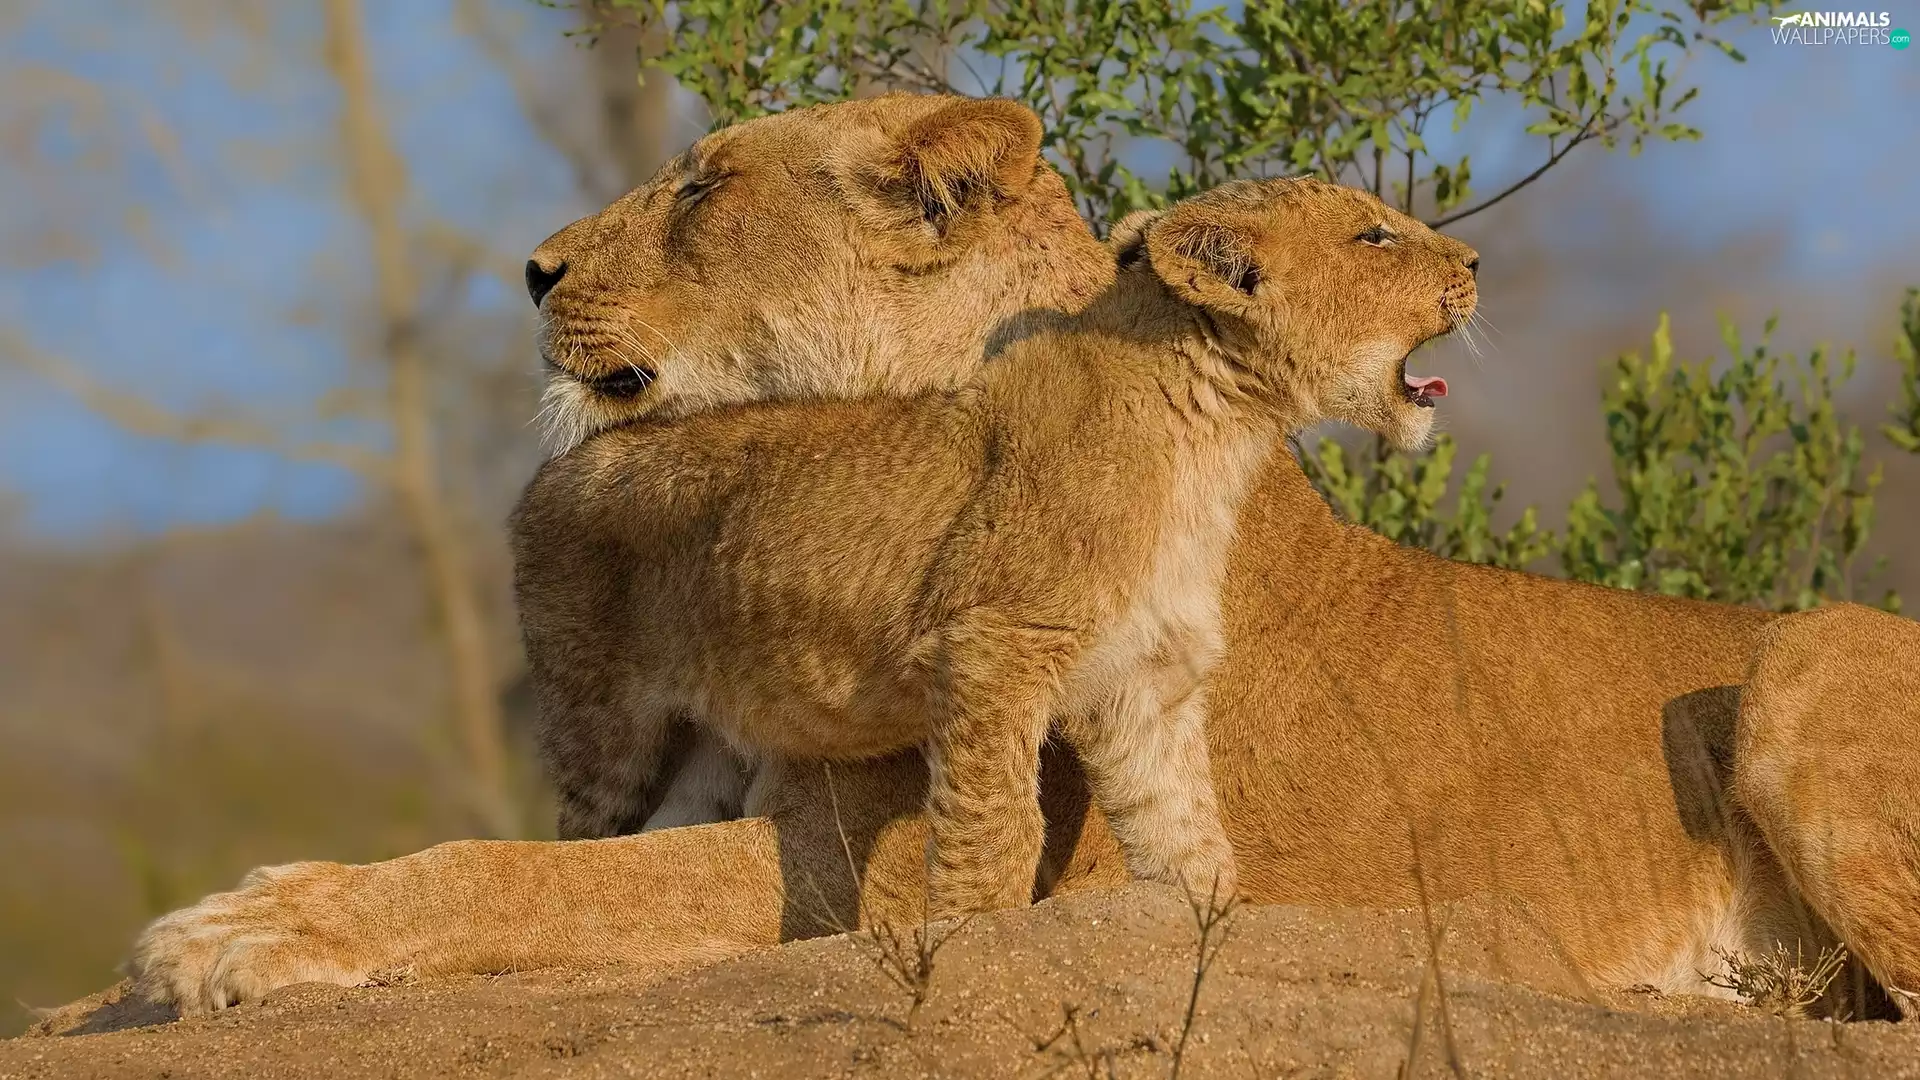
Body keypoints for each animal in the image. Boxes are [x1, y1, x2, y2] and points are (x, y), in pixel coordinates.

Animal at [513, 176, 1479, 915]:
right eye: (1376, 234)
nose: (1475, 264)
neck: (1218, 436)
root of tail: (563, 461)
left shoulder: (1143, 687)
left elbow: (1189, 835)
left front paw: (1210, 937)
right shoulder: (989, 651)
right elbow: (1000, 826)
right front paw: (971, 937)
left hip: (708, 747)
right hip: (604, 726)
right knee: (583, 837)